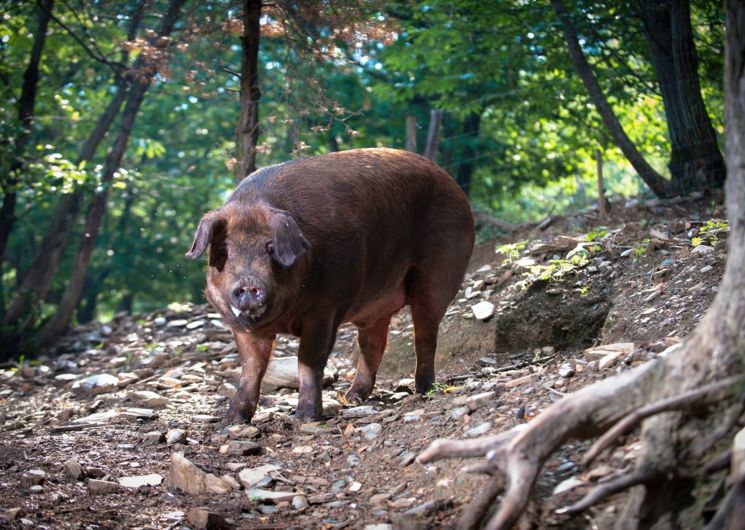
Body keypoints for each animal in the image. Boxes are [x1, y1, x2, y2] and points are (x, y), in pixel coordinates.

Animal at [189, 147, 474, 420]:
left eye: (270, 249)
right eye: (224, 250)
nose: (249, 283)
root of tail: (450, 181)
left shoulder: (327, 307)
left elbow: (309, 360)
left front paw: (306, 417)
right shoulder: (243, 327)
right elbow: (251, 368)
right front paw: (231, 421)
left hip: (439, 274)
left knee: (425, 335)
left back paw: (423, 390)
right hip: (375, 306)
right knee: (373, 345)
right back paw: (352, 398)